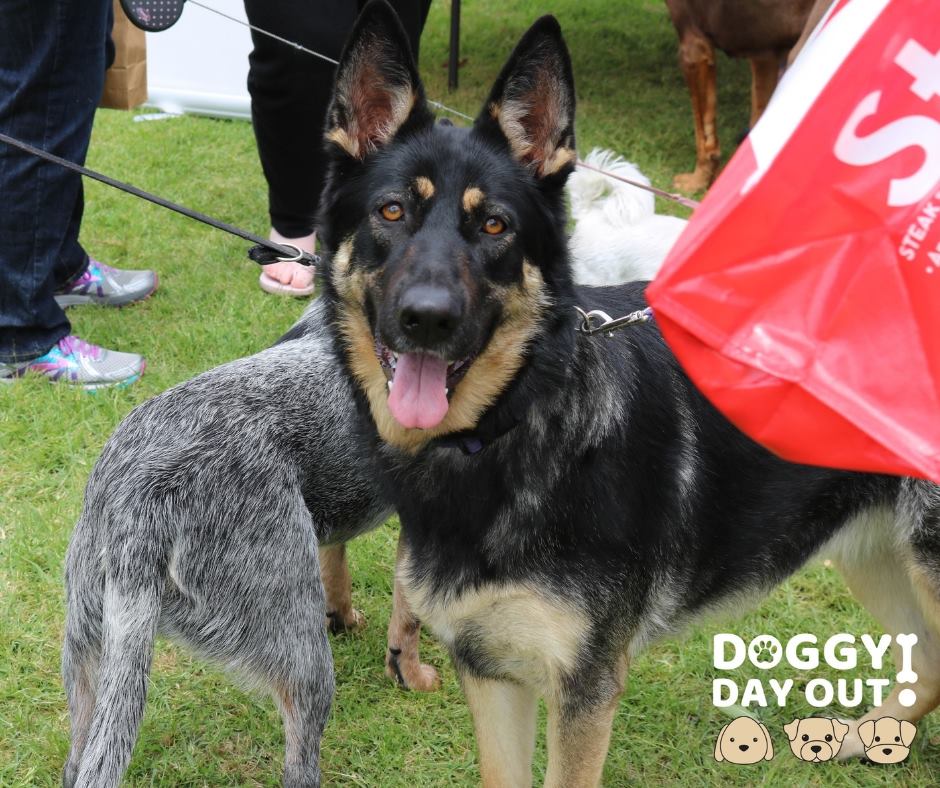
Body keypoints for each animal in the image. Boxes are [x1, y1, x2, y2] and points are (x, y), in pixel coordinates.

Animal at [60, 299, 440, 786]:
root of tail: (140, 498)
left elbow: (337, 565)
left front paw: (345, 617)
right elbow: (407, 621)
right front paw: (412, 676)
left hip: (90, 651)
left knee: (78, 758)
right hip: (304, 658)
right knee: (299, 761)